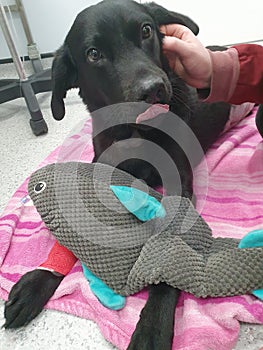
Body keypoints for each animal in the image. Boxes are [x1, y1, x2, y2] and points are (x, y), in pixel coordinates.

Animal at [4, 1, 234, 348]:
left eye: (146, 30)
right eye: (93, 53)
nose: (154, 90)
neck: (135, 130)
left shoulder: (179, 187)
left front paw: (152, 325)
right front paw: (40, 280)